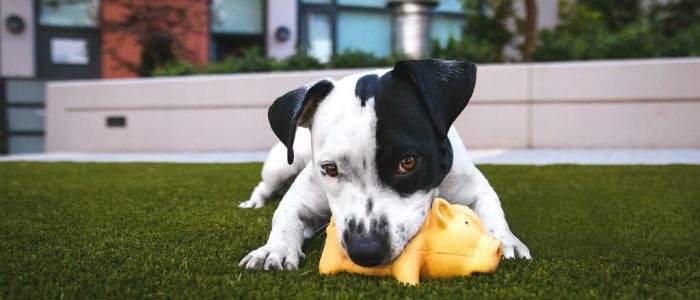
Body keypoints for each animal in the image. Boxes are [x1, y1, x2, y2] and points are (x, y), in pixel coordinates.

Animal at [238, 59, 528, 270]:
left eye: (408, 162)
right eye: (330, 168)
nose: (365, 251)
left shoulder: (474, 187)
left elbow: (492, 210)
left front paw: (505, 240)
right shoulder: (301, 198)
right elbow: (285, 216)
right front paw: (273, 249)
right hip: (281, 165)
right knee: (264, 186)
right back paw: (254, 202)